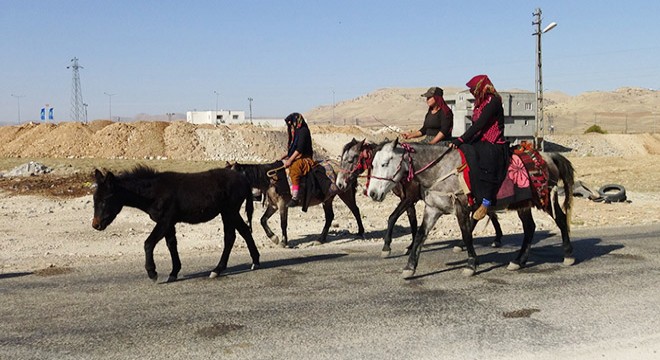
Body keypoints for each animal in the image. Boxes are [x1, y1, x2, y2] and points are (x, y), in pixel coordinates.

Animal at [368, 139, 576, 278]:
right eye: (372, 164)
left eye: (385, 163)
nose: (372, 193)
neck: (441, 170)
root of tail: (547, 157)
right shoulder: (432, 209)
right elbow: (420, 235)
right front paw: (409, 267)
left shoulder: (461, 208)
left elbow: (466, 234)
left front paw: (470, 264)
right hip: (523, 204)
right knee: (530, 228)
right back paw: (518, 261)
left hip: (545, 199)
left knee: (560, 219)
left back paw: (568, 255)